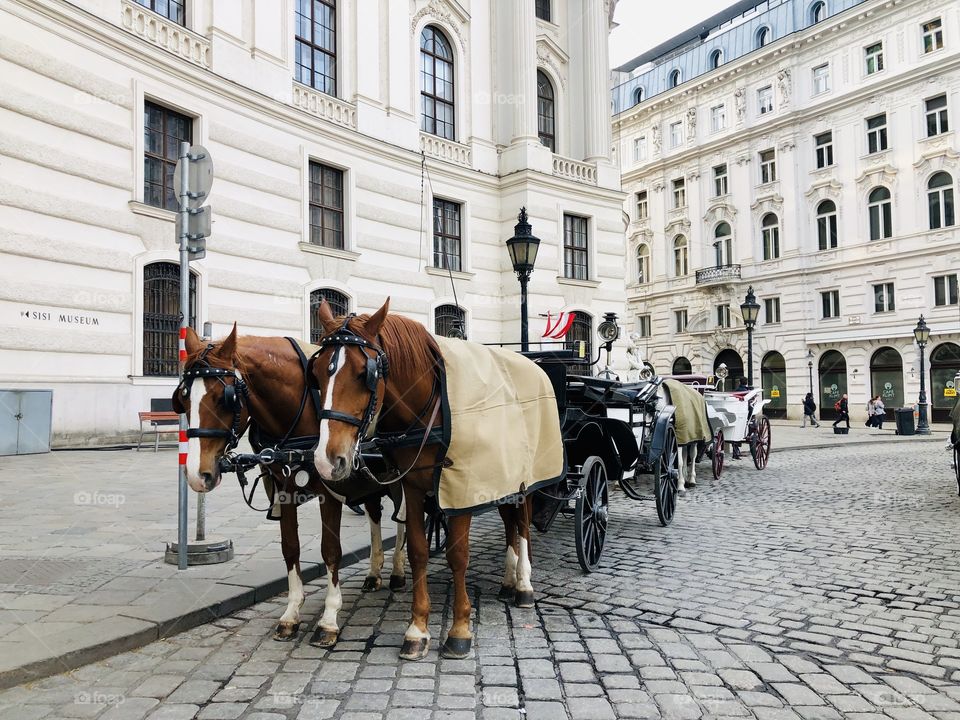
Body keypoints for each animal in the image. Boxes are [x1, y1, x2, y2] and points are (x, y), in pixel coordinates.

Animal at [176, 326, 404, 648]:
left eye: (224, 398)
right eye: (183, 398)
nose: (198, 474)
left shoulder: (329, 491)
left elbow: (330, 550)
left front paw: (329, 618)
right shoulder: (284, 491)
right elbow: (290, 548)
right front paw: (291, 614)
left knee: (405, 519)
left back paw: (398, 570)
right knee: (375, 514)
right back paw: (374, 573)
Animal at [308, 300, 532, 660]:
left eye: (364, 373)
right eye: (314, 374)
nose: (327, 461)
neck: (429, 415)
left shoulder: (462, 491)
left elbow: (458, 555)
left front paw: (459, 629)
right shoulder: (413, 488)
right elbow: (417, 551)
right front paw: (417, 628)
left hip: (523, 482)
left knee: (522, 526)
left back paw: (524, 585)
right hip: (502, 481)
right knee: (511, 524)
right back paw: (509, 581)